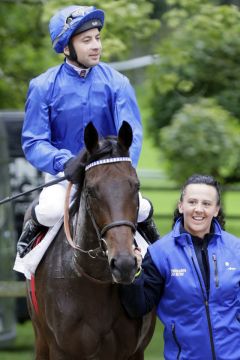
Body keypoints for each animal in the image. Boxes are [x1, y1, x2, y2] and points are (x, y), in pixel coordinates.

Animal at [26, 121, 156, 360]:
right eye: (91, 190)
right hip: (41, 338)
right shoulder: (62, 351)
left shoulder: (134, 352)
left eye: (136, 186)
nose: (124, 264)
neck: (96, 279)